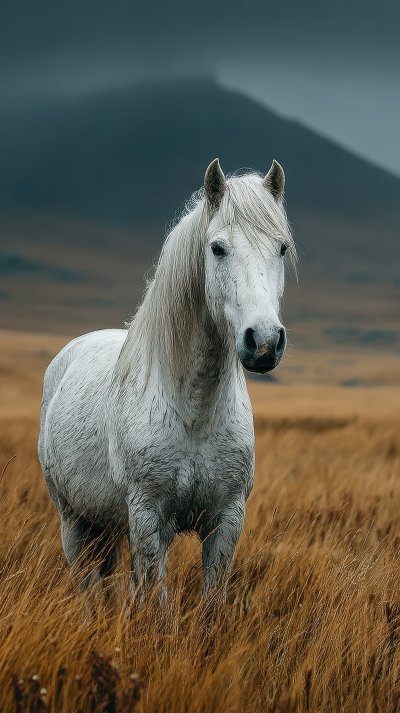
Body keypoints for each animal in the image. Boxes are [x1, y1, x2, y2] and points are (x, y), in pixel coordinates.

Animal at [38, 158, 296, 603]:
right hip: (74, 520)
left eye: (280, 247)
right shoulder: (148, 519)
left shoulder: (226, 521)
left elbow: (211, 604)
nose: (263, 341)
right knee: (87, 586)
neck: (195, 413)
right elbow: (157, 603)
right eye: (218, 248)